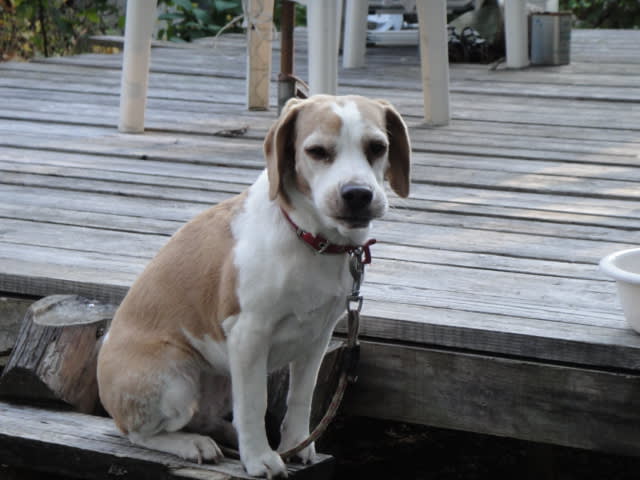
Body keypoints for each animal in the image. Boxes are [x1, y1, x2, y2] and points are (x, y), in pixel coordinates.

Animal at [98, 94, 412, 476]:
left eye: (377, 147)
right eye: (317, 151)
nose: (357, 194)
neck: (310, 239)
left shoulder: (317, 337)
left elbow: (300, 397)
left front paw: (295, 444)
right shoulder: (249, 335)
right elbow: (254, 405)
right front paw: (260, 456)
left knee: (201, 417)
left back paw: (222, 434)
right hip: (176, 383)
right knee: (140, 433)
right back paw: (192, 444)